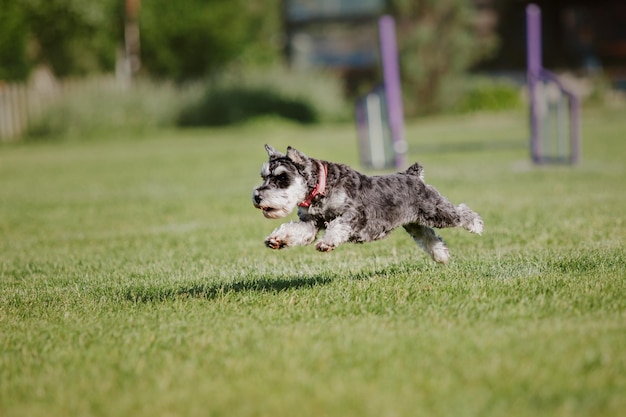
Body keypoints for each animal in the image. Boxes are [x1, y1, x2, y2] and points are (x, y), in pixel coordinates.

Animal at [252, 145, 482, 264]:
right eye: (264, 176)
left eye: (282, 178)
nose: (257, 197)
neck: (321, 186)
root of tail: (413, 175)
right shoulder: (310, 223)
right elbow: (294, 230)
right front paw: (277, 239)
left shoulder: (354, 215)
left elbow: (337, 226)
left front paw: (327, 243)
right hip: (415, 223)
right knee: (430, 237)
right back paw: (441, 256)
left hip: (435, 211)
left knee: (460, 212)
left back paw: (476, 225)